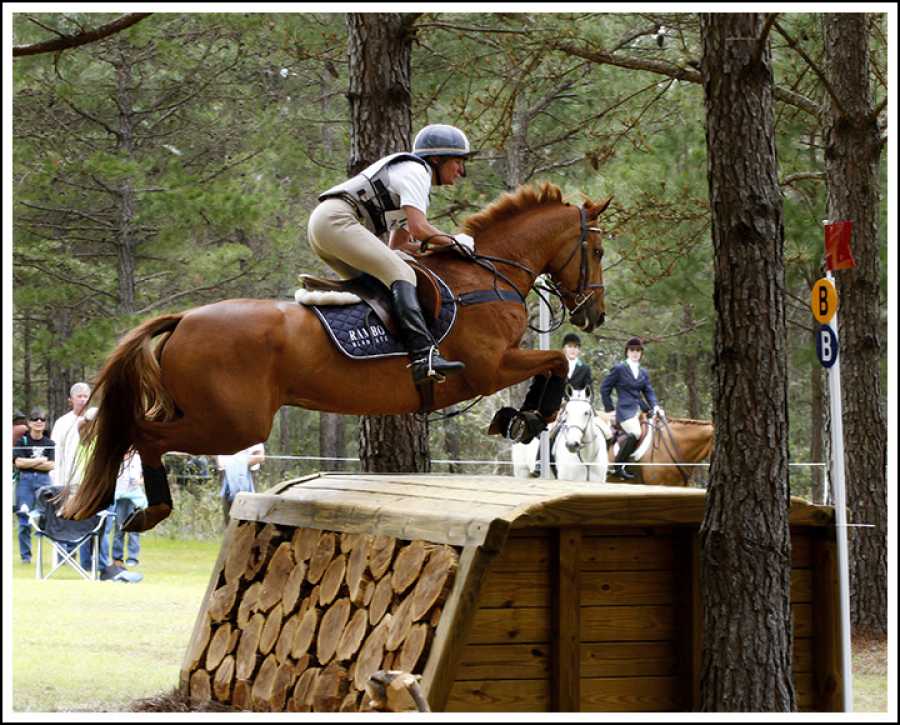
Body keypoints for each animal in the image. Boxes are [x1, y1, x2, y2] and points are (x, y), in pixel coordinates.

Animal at [61, 184, 612, 528]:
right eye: (599, 252)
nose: (595, 314)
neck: (486, 275)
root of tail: (185, 318)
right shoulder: (487, 368)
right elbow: (555, 364)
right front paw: (527, 417)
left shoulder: (497, 364)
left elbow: (554, 366)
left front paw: (520, 418)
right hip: (234, 425)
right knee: (144, 434)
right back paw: (149, 510)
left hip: (205, 413)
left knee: (137, 429)